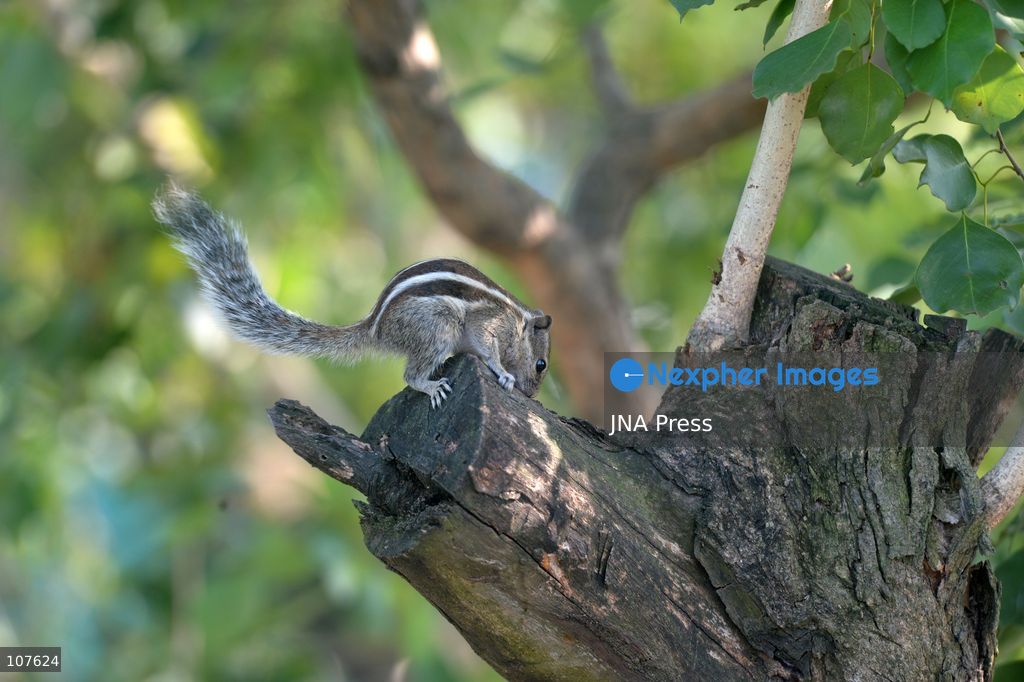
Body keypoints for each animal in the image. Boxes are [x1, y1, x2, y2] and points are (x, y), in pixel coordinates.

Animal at [152, 184, 552, 408]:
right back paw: (430, 385)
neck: (518, 322)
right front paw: (503, 373)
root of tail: (376, 327)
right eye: (541, 364)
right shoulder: (489, 323)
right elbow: (487, 348)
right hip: (436, 326)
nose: (532, 395)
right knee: (410, 374)